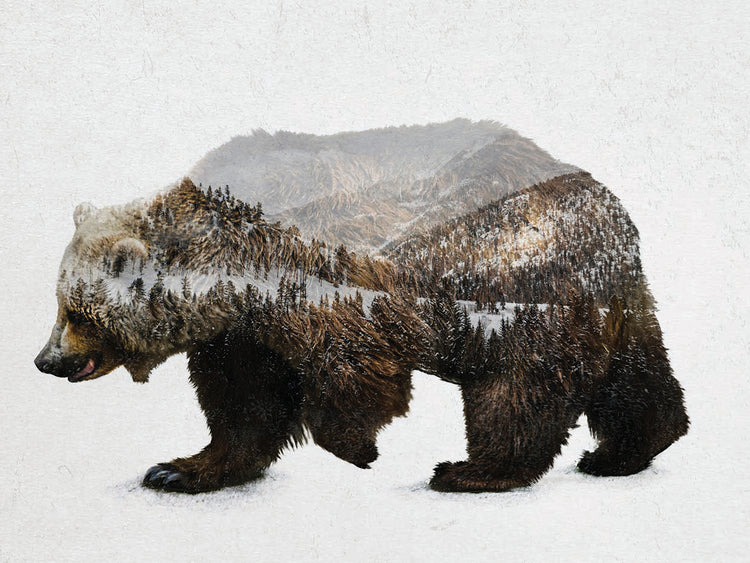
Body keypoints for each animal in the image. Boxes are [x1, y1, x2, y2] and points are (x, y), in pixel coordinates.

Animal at [35, 122, 688, 493]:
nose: (45, 360)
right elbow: (242, 403)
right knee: (637, 376)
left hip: (512, 277)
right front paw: (178, 469)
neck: (231, 267)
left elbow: (351, 372)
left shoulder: (321, 282)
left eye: (78, 312)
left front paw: (359, 449)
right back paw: (623, 452)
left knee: (519, 384)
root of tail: (611, 212)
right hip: (610, 302)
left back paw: (471, 471)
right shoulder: (242, 330)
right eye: (59, 304)